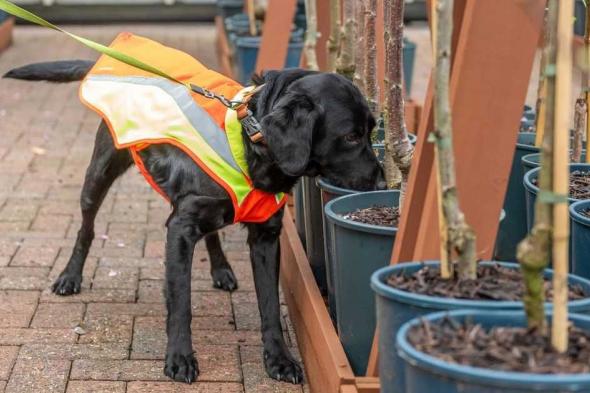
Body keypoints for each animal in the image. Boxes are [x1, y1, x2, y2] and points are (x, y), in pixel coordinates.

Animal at [3, 61, 388, 382]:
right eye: (351, 136)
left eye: (372, 130)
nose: (384, 183)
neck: (249, 142)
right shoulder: (180, 230)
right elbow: (180, 303)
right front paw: (179, 358)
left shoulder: (266, 236)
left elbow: (269, 307)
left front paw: (280, 360)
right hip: (99, 174)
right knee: (86, 227)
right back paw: (70, 276)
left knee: (213, 234)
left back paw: (221, 269)